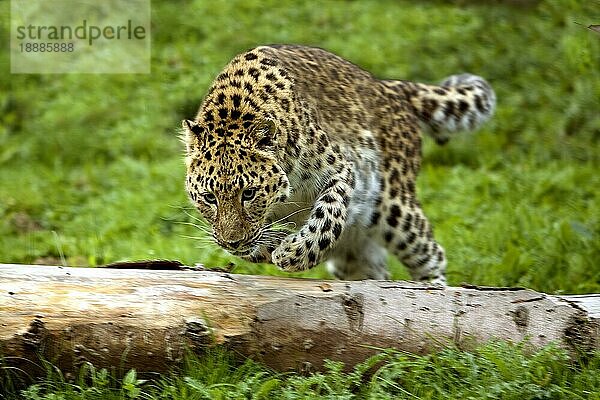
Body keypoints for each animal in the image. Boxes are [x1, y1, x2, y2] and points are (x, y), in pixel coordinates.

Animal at [184, 45, 496, 284]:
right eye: (209, 198)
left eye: (248, 193)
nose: (231, 242)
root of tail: (387, 85)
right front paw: (271, 245)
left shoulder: (341, 169)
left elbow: (327, 216)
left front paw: (291, 253)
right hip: (356, 250)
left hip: (395, 208)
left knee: (432, 255)